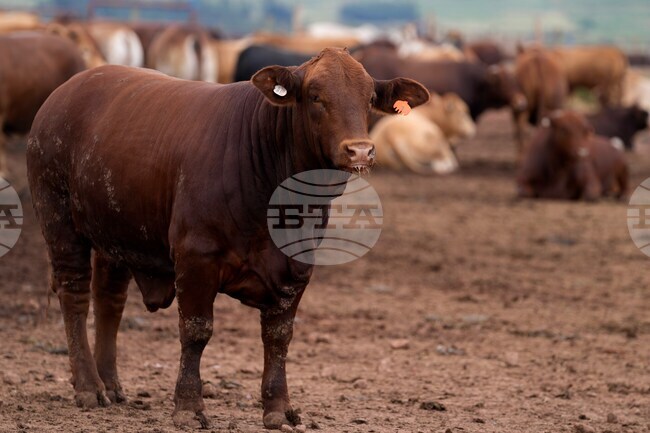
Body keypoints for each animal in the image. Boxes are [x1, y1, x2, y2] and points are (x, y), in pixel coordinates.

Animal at [26, 48, 429, 430]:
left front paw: (278, 409)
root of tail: (65, 91)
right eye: (315, 96)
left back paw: (110, 384)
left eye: (369, 98)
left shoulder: (296, 269)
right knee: (74, 296)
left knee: (109, 300)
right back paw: (88, 386)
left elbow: (279, 337)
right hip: (59, 220)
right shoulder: (195, 258)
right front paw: (189, 408)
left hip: (115, 234)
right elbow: (196, 331)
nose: (360, 150)